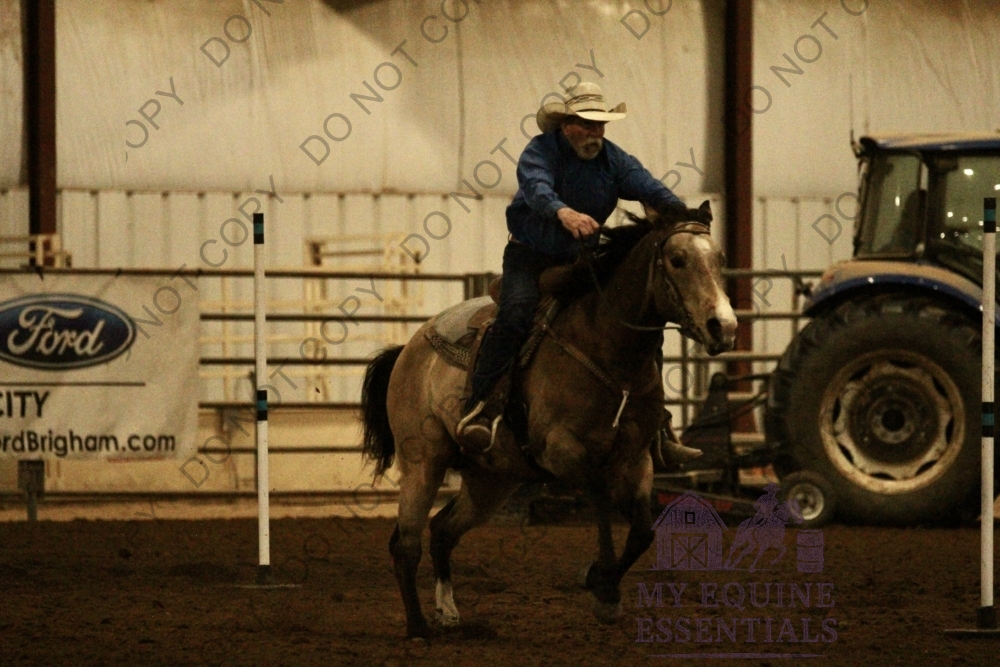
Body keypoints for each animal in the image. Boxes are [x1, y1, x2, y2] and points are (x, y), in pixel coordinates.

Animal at [360, 201, 737, 640]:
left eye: (720, 259)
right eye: (677, 260)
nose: (724, 327)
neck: (605, 348)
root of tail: (409, 349)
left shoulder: (637, 458)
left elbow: (644, 531)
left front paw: (599, 581)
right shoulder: (562, 451)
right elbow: (599, 499)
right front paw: (605, 590)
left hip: (491, 479)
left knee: (442, 531)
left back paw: (448, 610)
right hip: (424, 461)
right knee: (406, 544)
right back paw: (419, 627)